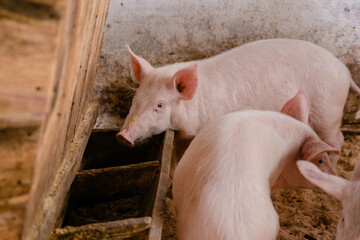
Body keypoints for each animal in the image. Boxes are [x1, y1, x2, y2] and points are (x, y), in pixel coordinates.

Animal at [116, 39, 358, 171]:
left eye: (159, 105)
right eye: (136, 98)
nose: (122, 136)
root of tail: (345, 71)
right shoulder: (182, 136)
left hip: (327, 110)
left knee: (336, 139)